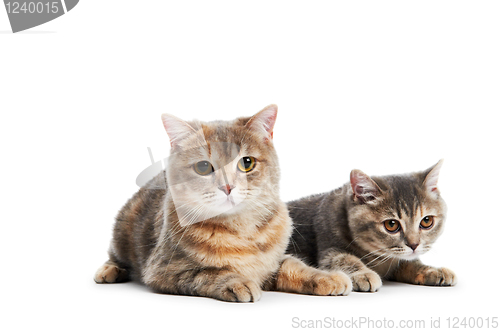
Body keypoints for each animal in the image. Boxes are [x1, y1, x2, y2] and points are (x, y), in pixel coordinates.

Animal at [94, 105, 352, 302]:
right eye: (202, 167)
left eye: (247, 162)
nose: (227, 187)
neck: (241, 230)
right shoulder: (164, 271)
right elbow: (208, 273)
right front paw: (236, 281)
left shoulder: (274, 261)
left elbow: (294, 265)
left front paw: (328, 277)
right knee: (114, 255)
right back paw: (109, 270)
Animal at [288, 161, 456, 294]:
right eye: (391, 225)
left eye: (427, 221)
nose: (414, 245)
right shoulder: (328, 248)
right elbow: (344, 258)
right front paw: (363, 274)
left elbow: (410, 263)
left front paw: (432, 269)